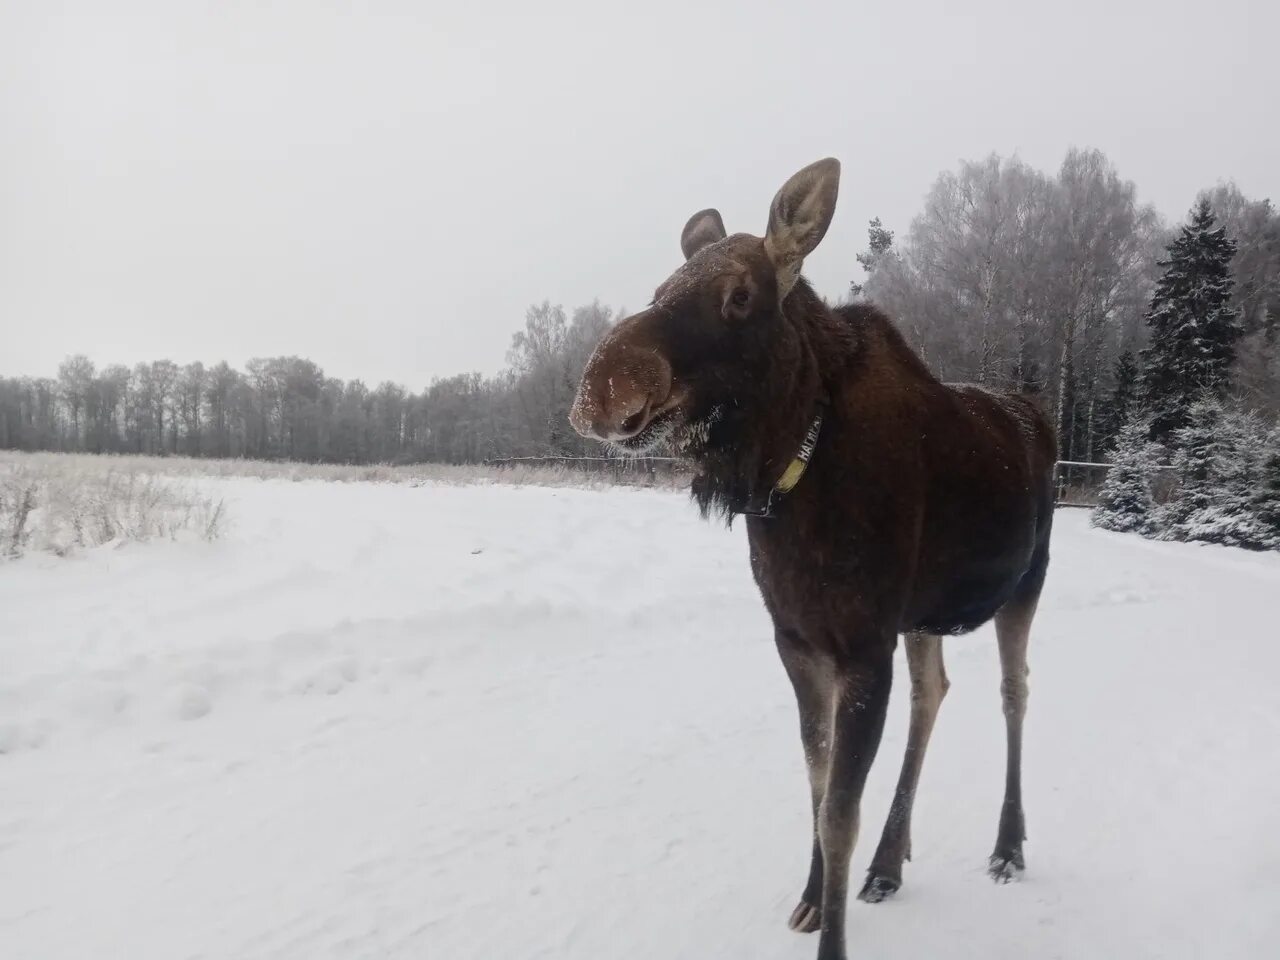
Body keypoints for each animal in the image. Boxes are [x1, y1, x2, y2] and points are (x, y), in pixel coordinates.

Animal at [568, 160, 1049, 960]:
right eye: (663, 285)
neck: (787, 484)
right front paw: (814, 897)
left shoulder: (862, 646)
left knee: (1015, 692)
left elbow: (838, 813)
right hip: (923, 617)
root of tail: (1036, 415)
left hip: (1025, 584)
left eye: (739, 295)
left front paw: (833, 924)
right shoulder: (798, 641)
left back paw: (1009, 847)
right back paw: (890, 862)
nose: (604, 386)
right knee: (934, 693)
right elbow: (818, 785)